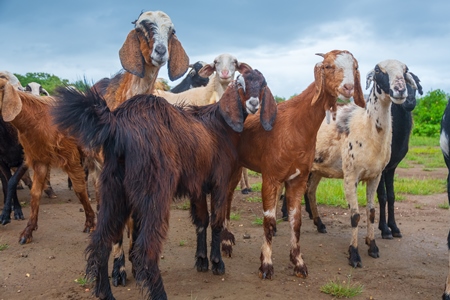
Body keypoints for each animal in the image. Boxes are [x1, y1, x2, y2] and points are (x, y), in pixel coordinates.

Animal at [0, 78, 96, 245]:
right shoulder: (40, 159)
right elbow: (35, 192)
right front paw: (27, 231)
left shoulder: (70, 156)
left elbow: (79, 189)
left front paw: (90, 223)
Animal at [52, 68, 278, 300]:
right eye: (240, 84)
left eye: (263, 85)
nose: (253, 103)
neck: (220, 126)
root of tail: (119, 124)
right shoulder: (220, 182)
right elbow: (216, 221)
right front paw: (217, 263)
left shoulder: (197, 186)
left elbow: (201, 221)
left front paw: (201, 260)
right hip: (155, 192)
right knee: (145, 250)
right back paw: (158, 293)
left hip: (112, 190)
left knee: (100, 243)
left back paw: (106, 293)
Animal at [304, 58, 420, 268]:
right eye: (378, 70)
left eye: (405, 70)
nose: (400, 91)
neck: (368, 129)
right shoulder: (350, 176)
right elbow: (355, 216)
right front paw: (354, 254)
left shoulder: (376, 175)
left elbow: (372, 211)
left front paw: (373, 246)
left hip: (317, 167)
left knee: (310, 191)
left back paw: (319, 224)